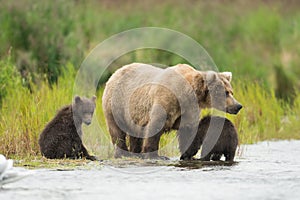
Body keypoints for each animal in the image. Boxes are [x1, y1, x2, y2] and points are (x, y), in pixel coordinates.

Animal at [102, 62, 243, 159]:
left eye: (231, 91)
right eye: (226, 93)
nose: (238, 106)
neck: (187, 94)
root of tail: (115, 72)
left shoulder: (188, 109)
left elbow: (188, 131)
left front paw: (187, 154)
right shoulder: (165, 100)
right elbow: (155, 126)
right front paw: (155, 155)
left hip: (134, 114)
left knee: (135, 134)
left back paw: (135, 152)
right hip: (116, 104)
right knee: (117, 131)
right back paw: (123, 153)